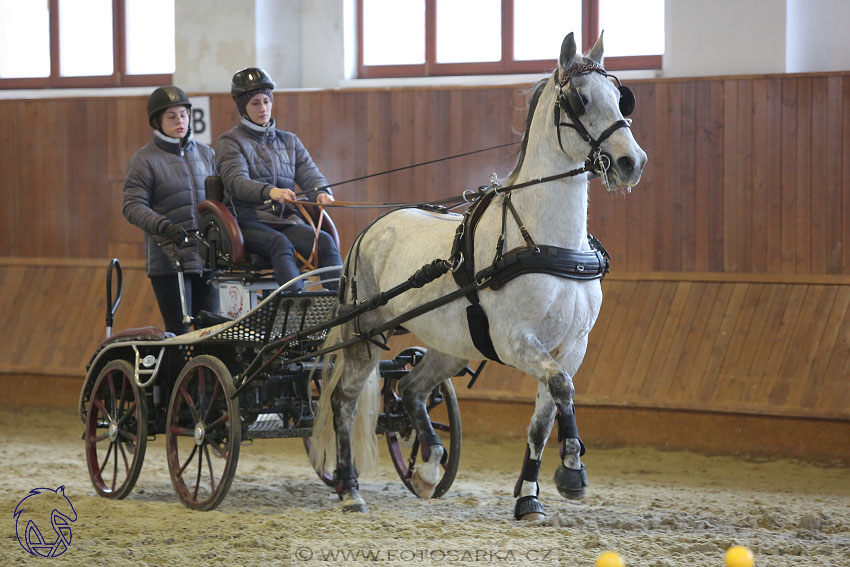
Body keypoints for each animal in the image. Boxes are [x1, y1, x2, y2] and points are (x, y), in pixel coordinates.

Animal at [308, 31, 644, 520]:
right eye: (580, 100)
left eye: (621, 98)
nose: (630, 162)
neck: (548, 243)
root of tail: (371, 229)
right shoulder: (516, 340)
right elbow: (562, 388)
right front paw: (572, 470)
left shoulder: (571, 346)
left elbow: (545, 416)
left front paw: (529, 496)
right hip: (366, 336)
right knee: (344, 402)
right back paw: (351, 489)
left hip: (452, 344)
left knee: (410, 387)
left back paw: (429, 465)